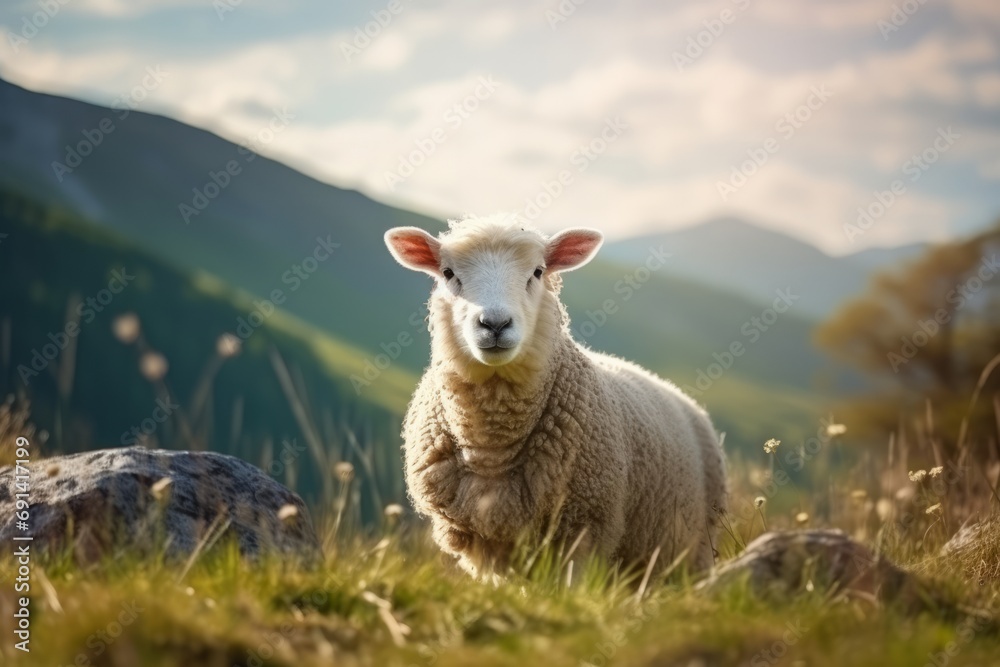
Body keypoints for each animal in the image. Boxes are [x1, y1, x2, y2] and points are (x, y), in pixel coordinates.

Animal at [384, 214, 727, 580]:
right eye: (448, 273)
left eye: (537, 272)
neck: (493, 447)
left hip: (697, 547)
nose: (495, 324)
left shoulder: (583, 529)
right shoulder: (483, 542)